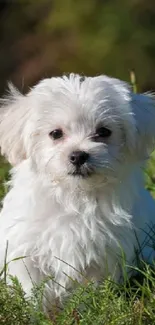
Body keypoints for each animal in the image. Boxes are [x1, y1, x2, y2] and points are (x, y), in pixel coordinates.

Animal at [0, 74, 155, 306]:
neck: (74, 196)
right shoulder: (26, 249)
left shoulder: (103, 255)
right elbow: (31, 287)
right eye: (55, 134)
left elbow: (90, 291)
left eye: (103, 132)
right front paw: (35, 310)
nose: (78, 155)